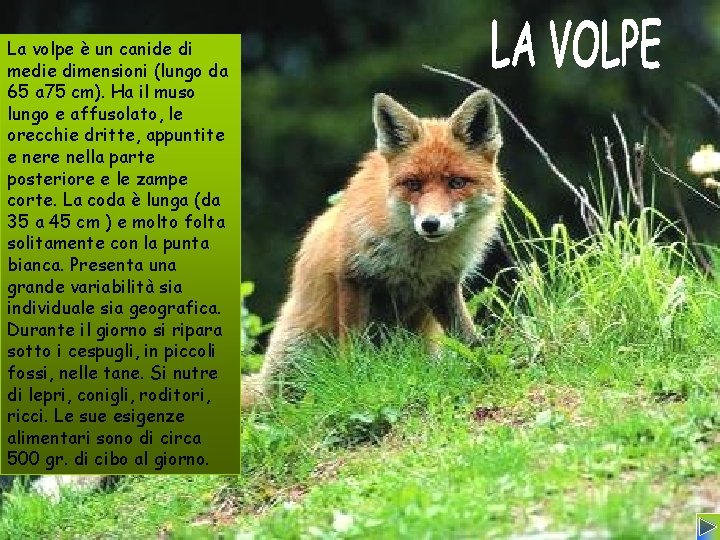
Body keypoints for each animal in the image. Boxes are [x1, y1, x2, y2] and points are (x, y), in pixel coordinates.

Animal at [242, 89, 505, 408]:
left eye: (456, 182)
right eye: (413, 184)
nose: (430, 224)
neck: (419, 259)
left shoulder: (443, 285)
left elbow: (468, 338)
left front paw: (486, 365)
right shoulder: (354, 275)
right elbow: (353, 347)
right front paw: (352, 381)